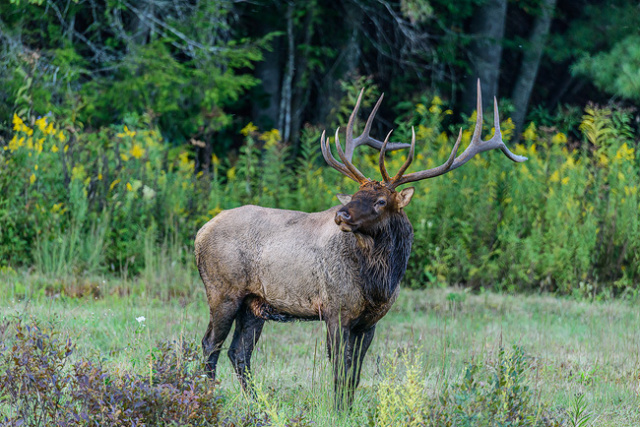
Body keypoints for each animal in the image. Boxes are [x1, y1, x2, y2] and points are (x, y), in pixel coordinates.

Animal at [196, 79, 528, 408]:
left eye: (381, 201)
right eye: (356, 193)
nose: (341, 214)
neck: (378, 283)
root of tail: (200, 233)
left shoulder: (370, 322)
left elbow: (354, 374)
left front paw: (348, 410)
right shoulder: (335, 310)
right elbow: (340, 371)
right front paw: (337, 411)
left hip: (255, 303)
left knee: (238, 352)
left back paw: (262, 406)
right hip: (223, 290)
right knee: (210, 344)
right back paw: (210, 400)